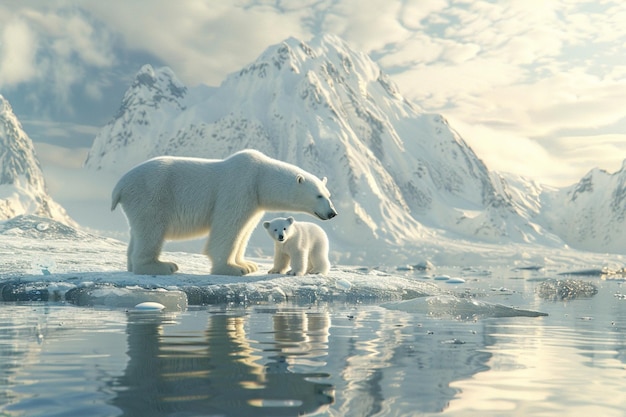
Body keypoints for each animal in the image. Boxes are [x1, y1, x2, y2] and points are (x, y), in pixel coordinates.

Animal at [112, 150, 336, 276]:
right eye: (318, 195)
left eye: (328, 194)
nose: (332, 213)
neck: (260, 177)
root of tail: (120, 185)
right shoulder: (238, 188)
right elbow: (228, 227)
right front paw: (232, 269)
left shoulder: (254, 202)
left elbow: (244, 230)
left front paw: (247, 265)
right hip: (152, 195)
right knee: (152, 230)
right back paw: (161, 266)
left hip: (138, 202)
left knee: (138, 231)